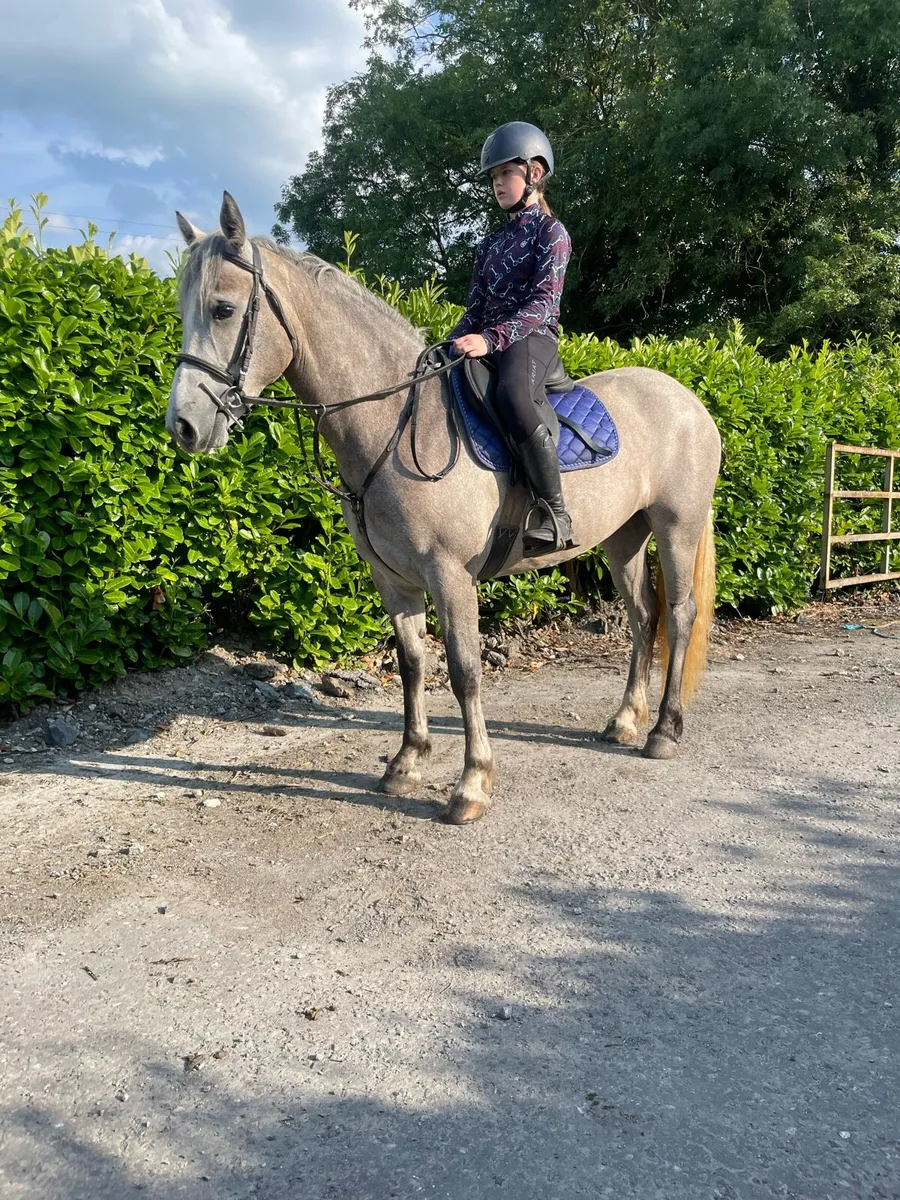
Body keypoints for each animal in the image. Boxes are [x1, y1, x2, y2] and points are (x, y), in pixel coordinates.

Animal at [166, 193, 721, 826]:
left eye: (223, 308)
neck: (401, 422)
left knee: (679, 614)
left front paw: (472, 784)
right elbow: (412, 663)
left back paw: (664, 732)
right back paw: (626, 721)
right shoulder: (393, 578)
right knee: (642, 616)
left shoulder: (450, 575)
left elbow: (464, 671)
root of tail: (689, 400)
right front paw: (406, 764)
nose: (183, 426)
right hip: (624, 539)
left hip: (676, 528)